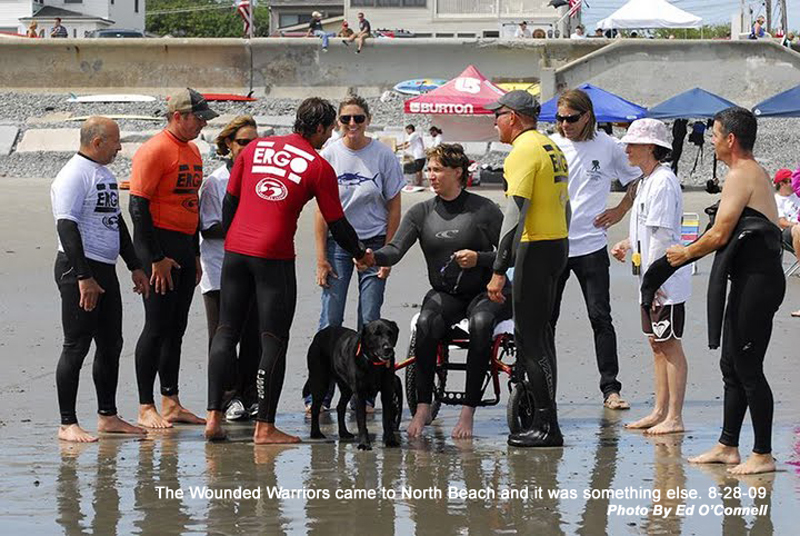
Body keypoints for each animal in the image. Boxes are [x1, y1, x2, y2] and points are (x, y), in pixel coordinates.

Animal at [310, 318, 400, 448]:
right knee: (315, 408)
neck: (374, 364)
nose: (388, 348)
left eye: (390, 333)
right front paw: (364, 443)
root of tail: (320, 334)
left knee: (340, 407)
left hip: (346, 388)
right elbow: (361, 421)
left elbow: (387, 420)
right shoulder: (359, 394)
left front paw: (391, 440)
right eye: (376, 334)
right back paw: (315, 433)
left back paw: (343, 432)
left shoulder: (387, 391)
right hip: (320, 383)